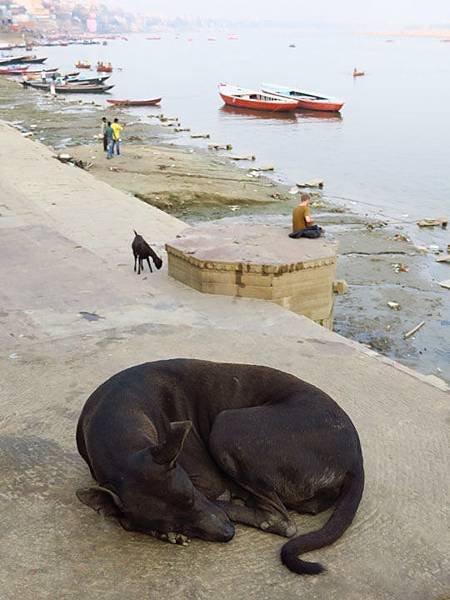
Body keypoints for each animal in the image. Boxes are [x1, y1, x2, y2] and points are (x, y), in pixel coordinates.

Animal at [76, 358, 366, 576]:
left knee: (279, 520)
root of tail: (356, 457)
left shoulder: (208, 483)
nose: (227, 534)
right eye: (175, 523)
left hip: (227, 426)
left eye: (192, 496)